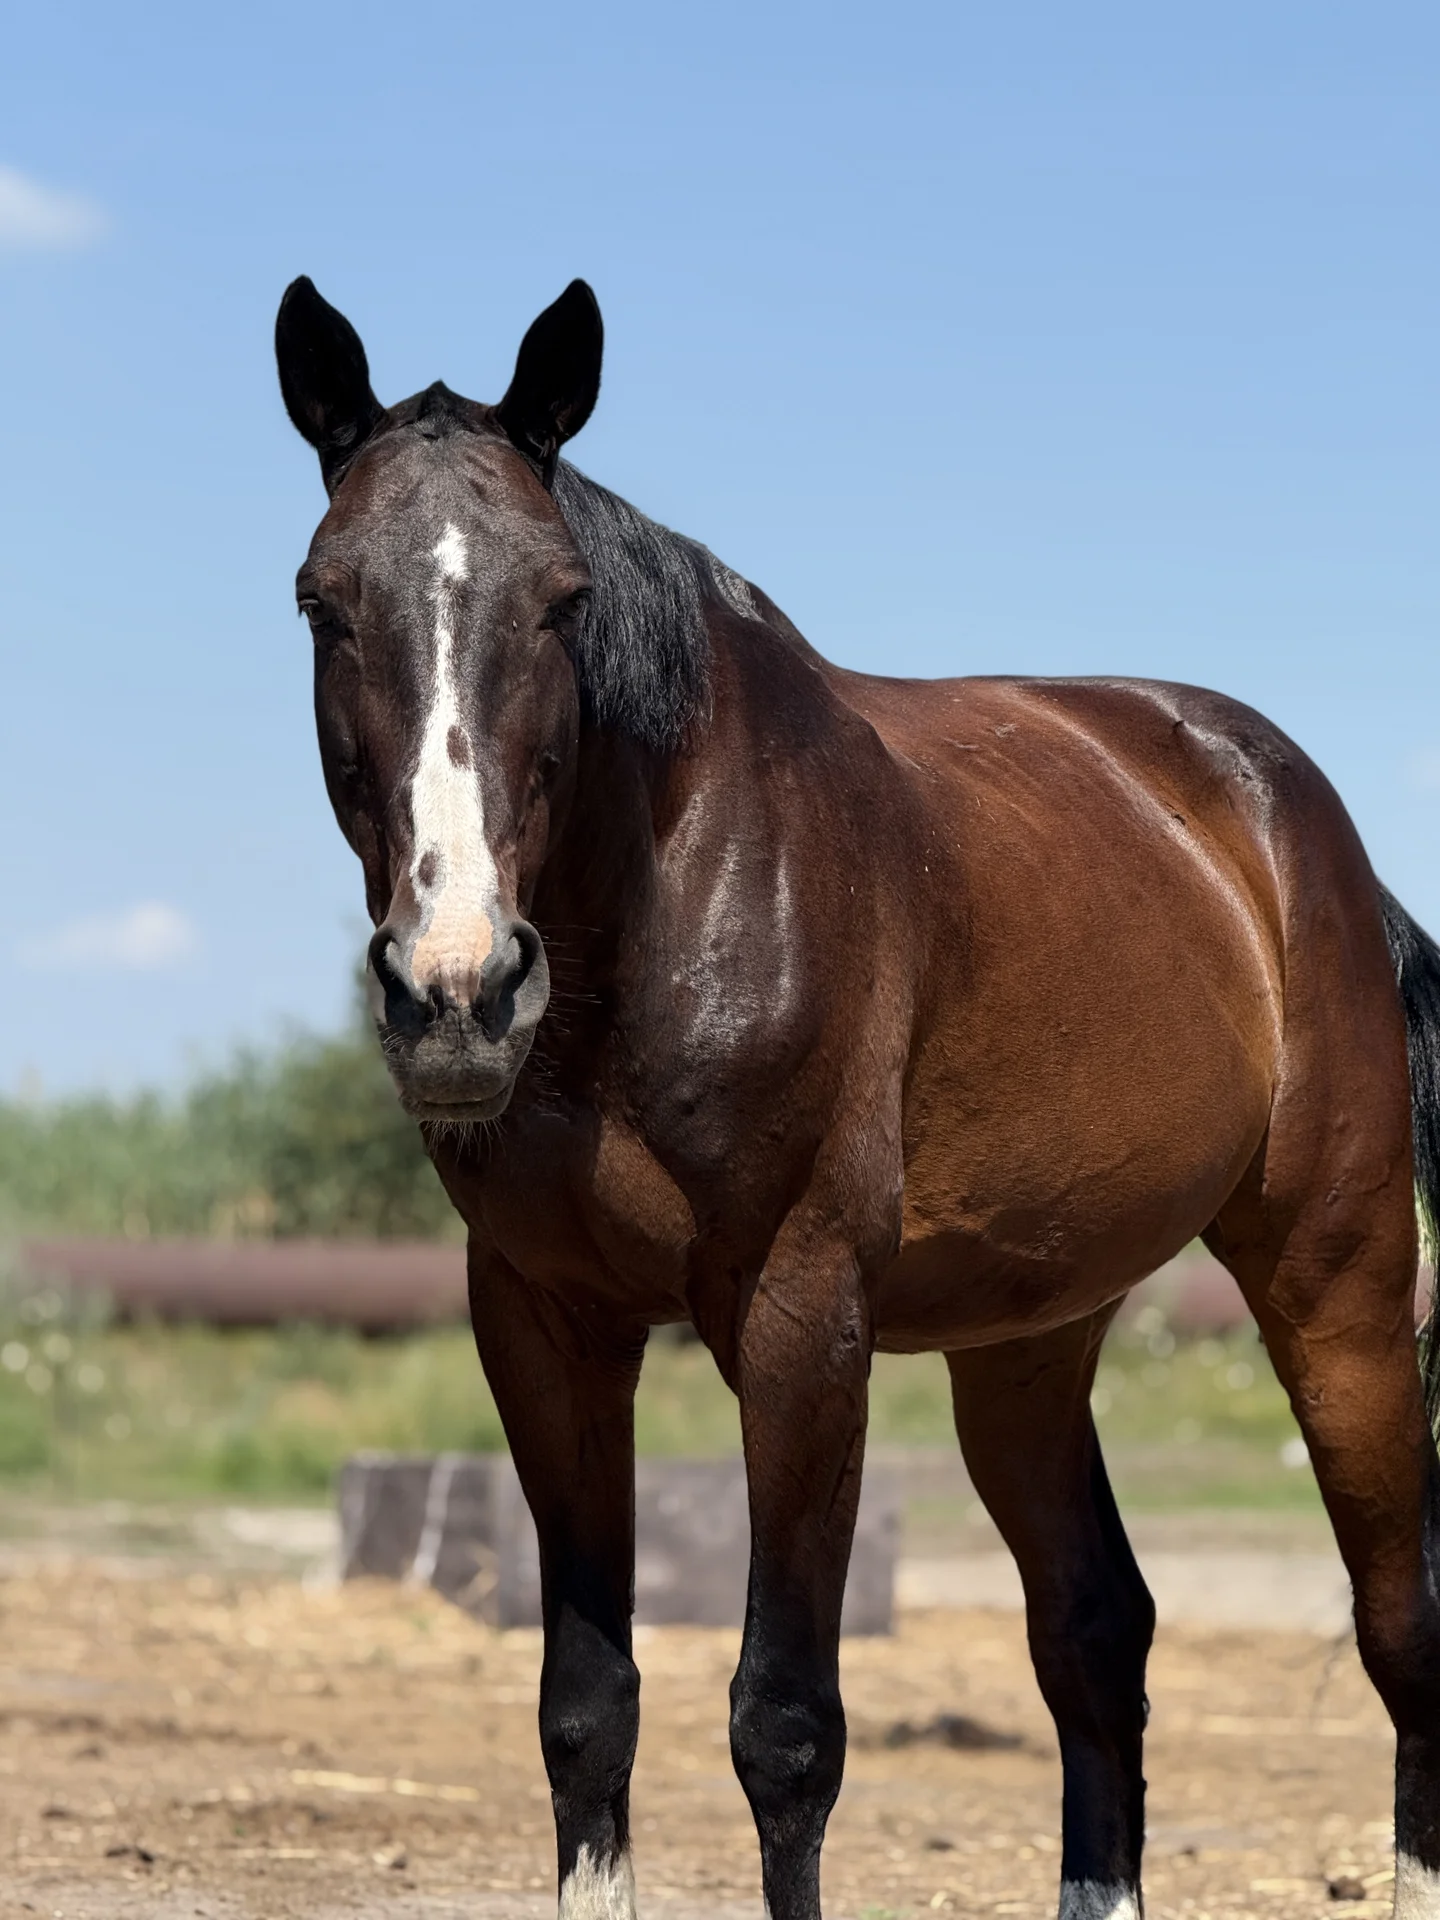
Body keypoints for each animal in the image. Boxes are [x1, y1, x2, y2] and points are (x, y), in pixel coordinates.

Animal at [274, 274, 1440, 1920]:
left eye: (563, 600)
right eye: (324, 601)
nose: (458, 986)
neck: (670, 904)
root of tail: (1292, 826)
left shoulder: (803, 1318)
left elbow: (785, 1727)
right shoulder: (544, 1321)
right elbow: (586, 1708)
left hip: (1340, 1287)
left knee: (1402, 1630)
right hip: (1028, 1346)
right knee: (1097, 1632)